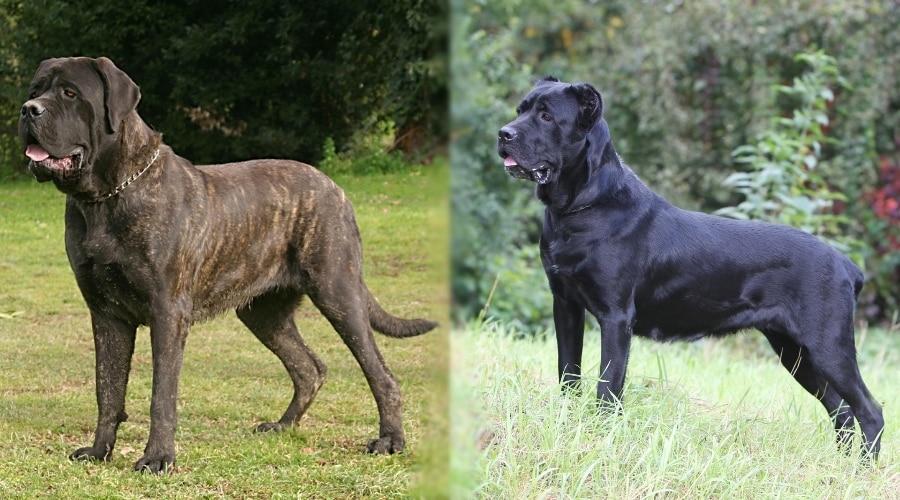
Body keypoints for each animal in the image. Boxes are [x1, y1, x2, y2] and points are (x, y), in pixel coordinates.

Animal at [15, 57, 434, 472]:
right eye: (36, 90)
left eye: (70, 93)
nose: (27, 110)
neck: (106, 197)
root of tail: (336, 189)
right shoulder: (106, 314)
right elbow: (108, 388)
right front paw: (99, 451)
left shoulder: (167, 312)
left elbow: (161, 394)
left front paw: (158, 458)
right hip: (263, 313)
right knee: (309, 368)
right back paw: (282, 426)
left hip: (338, 293)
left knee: (381, 374)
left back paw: (390, 440)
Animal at [500, 76, 884, 458]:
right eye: (521, 110)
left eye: (547, 116)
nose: (503, 133)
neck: (582, 206)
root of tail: (848, 266)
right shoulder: (565, 305)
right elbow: (569, 373)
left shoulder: (616, 317)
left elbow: (608, 387)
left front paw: (601, 439)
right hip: (795, 352)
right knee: (843, 410)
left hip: (828, 346)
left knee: (870, 410)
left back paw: (863, 467)